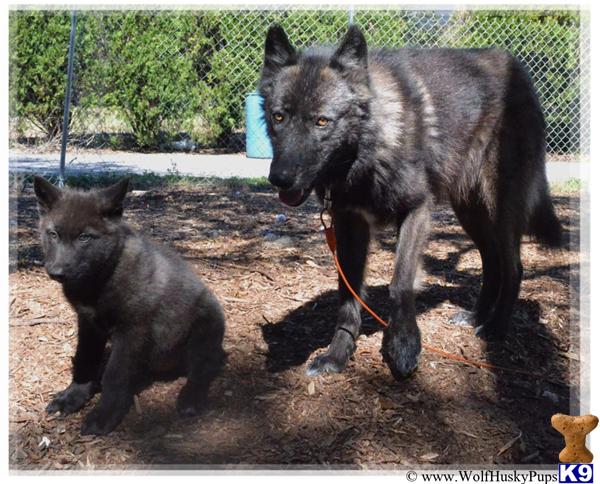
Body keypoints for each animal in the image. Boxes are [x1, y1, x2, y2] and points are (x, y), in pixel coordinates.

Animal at [34, 178, 227, 434]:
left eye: (85, 237)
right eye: (53, 234)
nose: (56, 272)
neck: (101, 278)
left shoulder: (132, 331)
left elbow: (115, 376)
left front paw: (104, 415)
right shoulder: (88, 325)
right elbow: (85, 360)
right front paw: (73, 396)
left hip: (204, 329)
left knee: (203, 368)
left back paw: (190, 398)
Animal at [258, 25, 564, 382]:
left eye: (322, 121)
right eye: (279, 117)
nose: (279, 178)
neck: (368, 151)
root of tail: (520, 71)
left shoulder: (416, 211)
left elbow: (400, 284)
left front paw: (403, 346)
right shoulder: (350, 226)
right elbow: (348, 297)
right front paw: (338, 354)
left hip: (499, 211)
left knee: (514, 267)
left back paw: (496, 327)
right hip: (470, 213)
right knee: (492, 262)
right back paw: (476, 317)